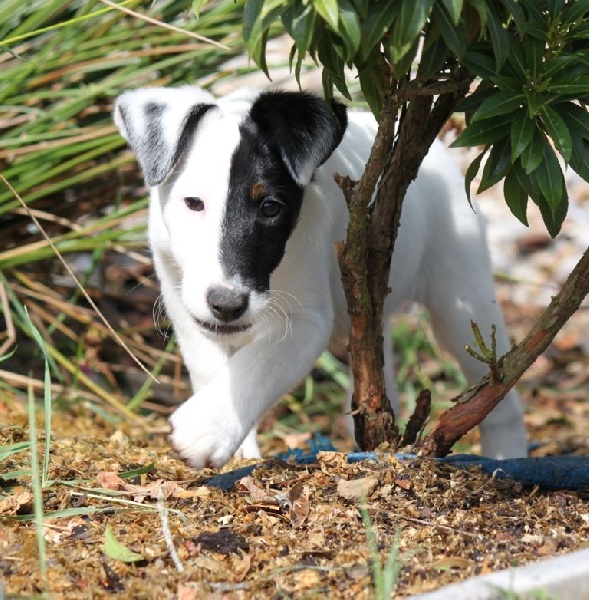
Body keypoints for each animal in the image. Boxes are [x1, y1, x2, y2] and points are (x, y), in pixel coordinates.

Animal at [112, 85, 524, 468]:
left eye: (271, 207)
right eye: (193, 203)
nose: (227, 305)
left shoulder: (305, 320)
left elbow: (257, 365)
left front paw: (205, 430)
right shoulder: (182, 299)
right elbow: (213, 367)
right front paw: (236, 446)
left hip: (461, 300)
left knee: (497, 390)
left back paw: (505, 460)